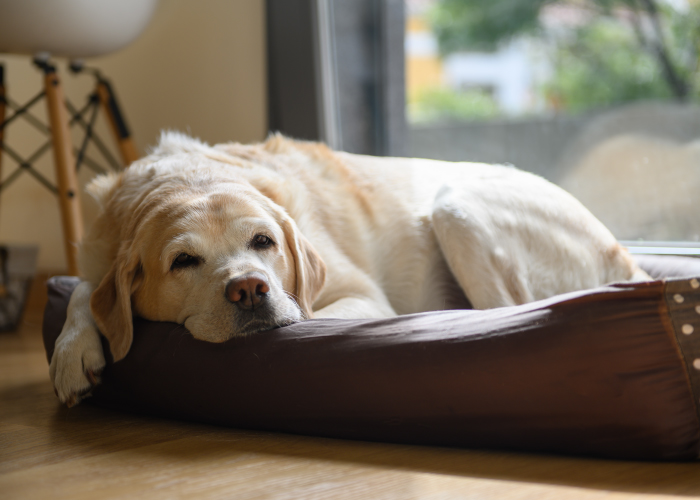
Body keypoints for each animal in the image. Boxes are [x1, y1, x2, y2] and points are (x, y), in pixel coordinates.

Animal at [49, 132, 652, 406]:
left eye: (264, 242)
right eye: (183, 261)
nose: (250, 289)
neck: (189, 176)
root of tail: (626, 255)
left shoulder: (356, 293)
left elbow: (313, 316)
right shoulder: (99, 256)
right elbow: (83, 291)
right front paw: (73, 352)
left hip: (456, 207)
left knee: (509, 312)